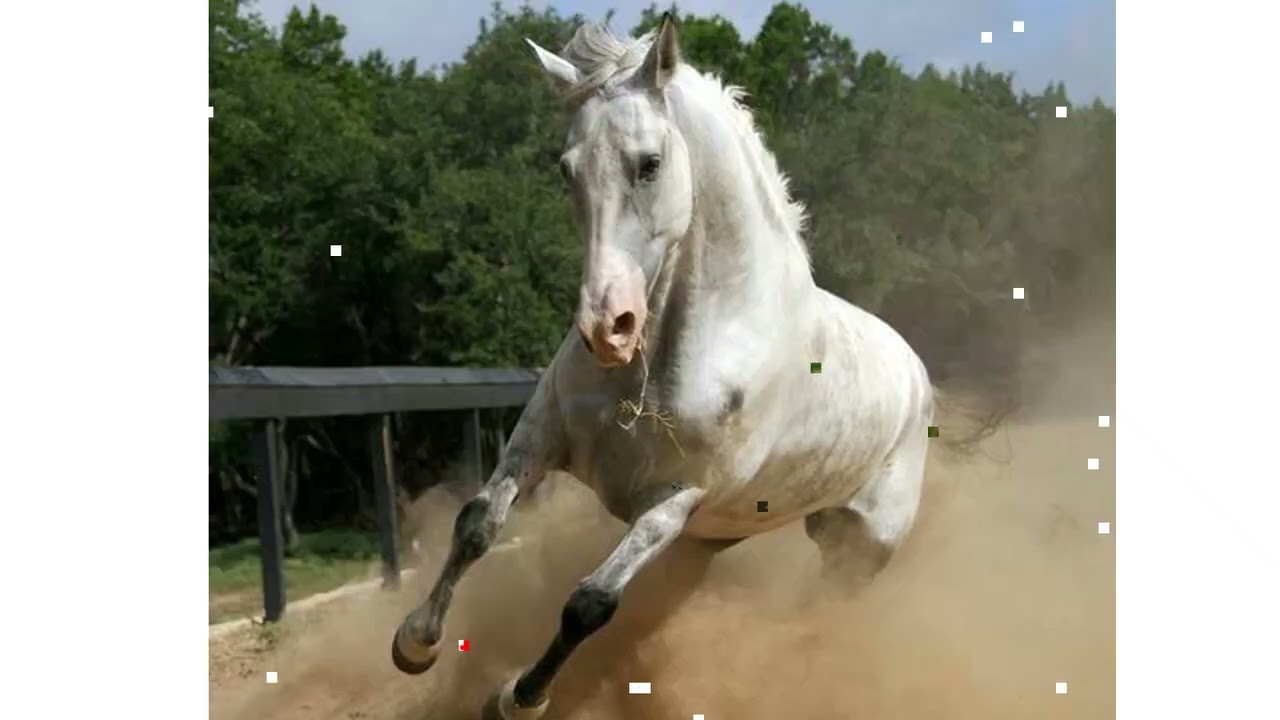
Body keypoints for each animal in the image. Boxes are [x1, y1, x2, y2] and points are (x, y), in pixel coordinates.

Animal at [390, 14, 935, 719]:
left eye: (649, 163)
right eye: (565, 169)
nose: (609, 327)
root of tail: (916, 373)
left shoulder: (675, 500)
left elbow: (590, 604)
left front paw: (518, 696)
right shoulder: (542, 433)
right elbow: (477, 525)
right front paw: (415, 642)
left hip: (858, 547)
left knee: (825, 609)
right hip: (711, 539)